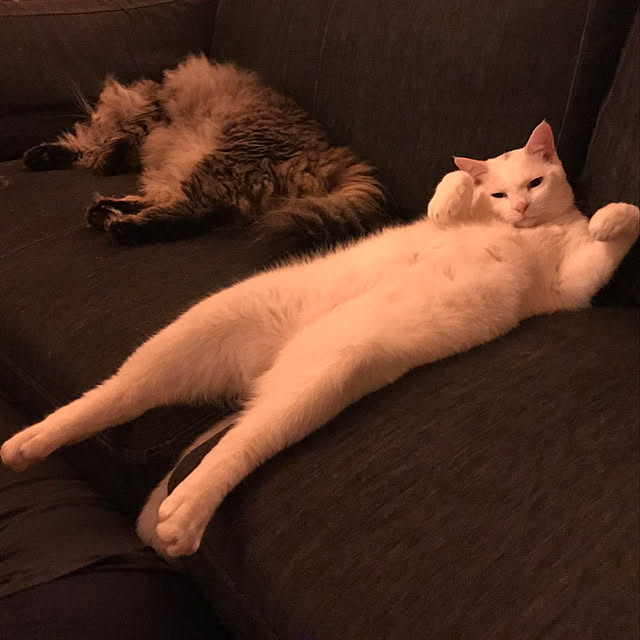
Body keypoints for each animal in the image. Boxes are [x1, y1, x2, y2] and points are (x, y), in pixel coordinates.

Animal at [3, 121, 638, 558]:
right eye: (504, 194)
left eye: (536, 181)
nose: (524, 206)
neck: (529, 230)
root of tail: (268, 367)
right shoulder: (464, 222)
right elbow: (452, 185)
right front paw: (457, 194)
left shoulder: (572, 286)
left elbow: (613, 232)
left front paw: (612, 216)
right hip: (207, 326)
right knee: (119, 394)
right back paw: (33, 442)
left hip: (318, 378)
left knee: (237, 445)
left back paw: (176, 512)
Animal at [22, 55, 388, 247]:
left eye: (99, 112)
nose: (94, 117)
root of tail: (332, 153)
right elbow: (85, 150)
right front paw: (46, 155)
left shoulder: (149, 116)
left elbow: (121, 141)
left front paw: (104, 155)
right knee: (179, 206)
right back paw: (105, 211)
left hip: (217, 166)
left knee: (192, 211)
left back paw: (122, 225)